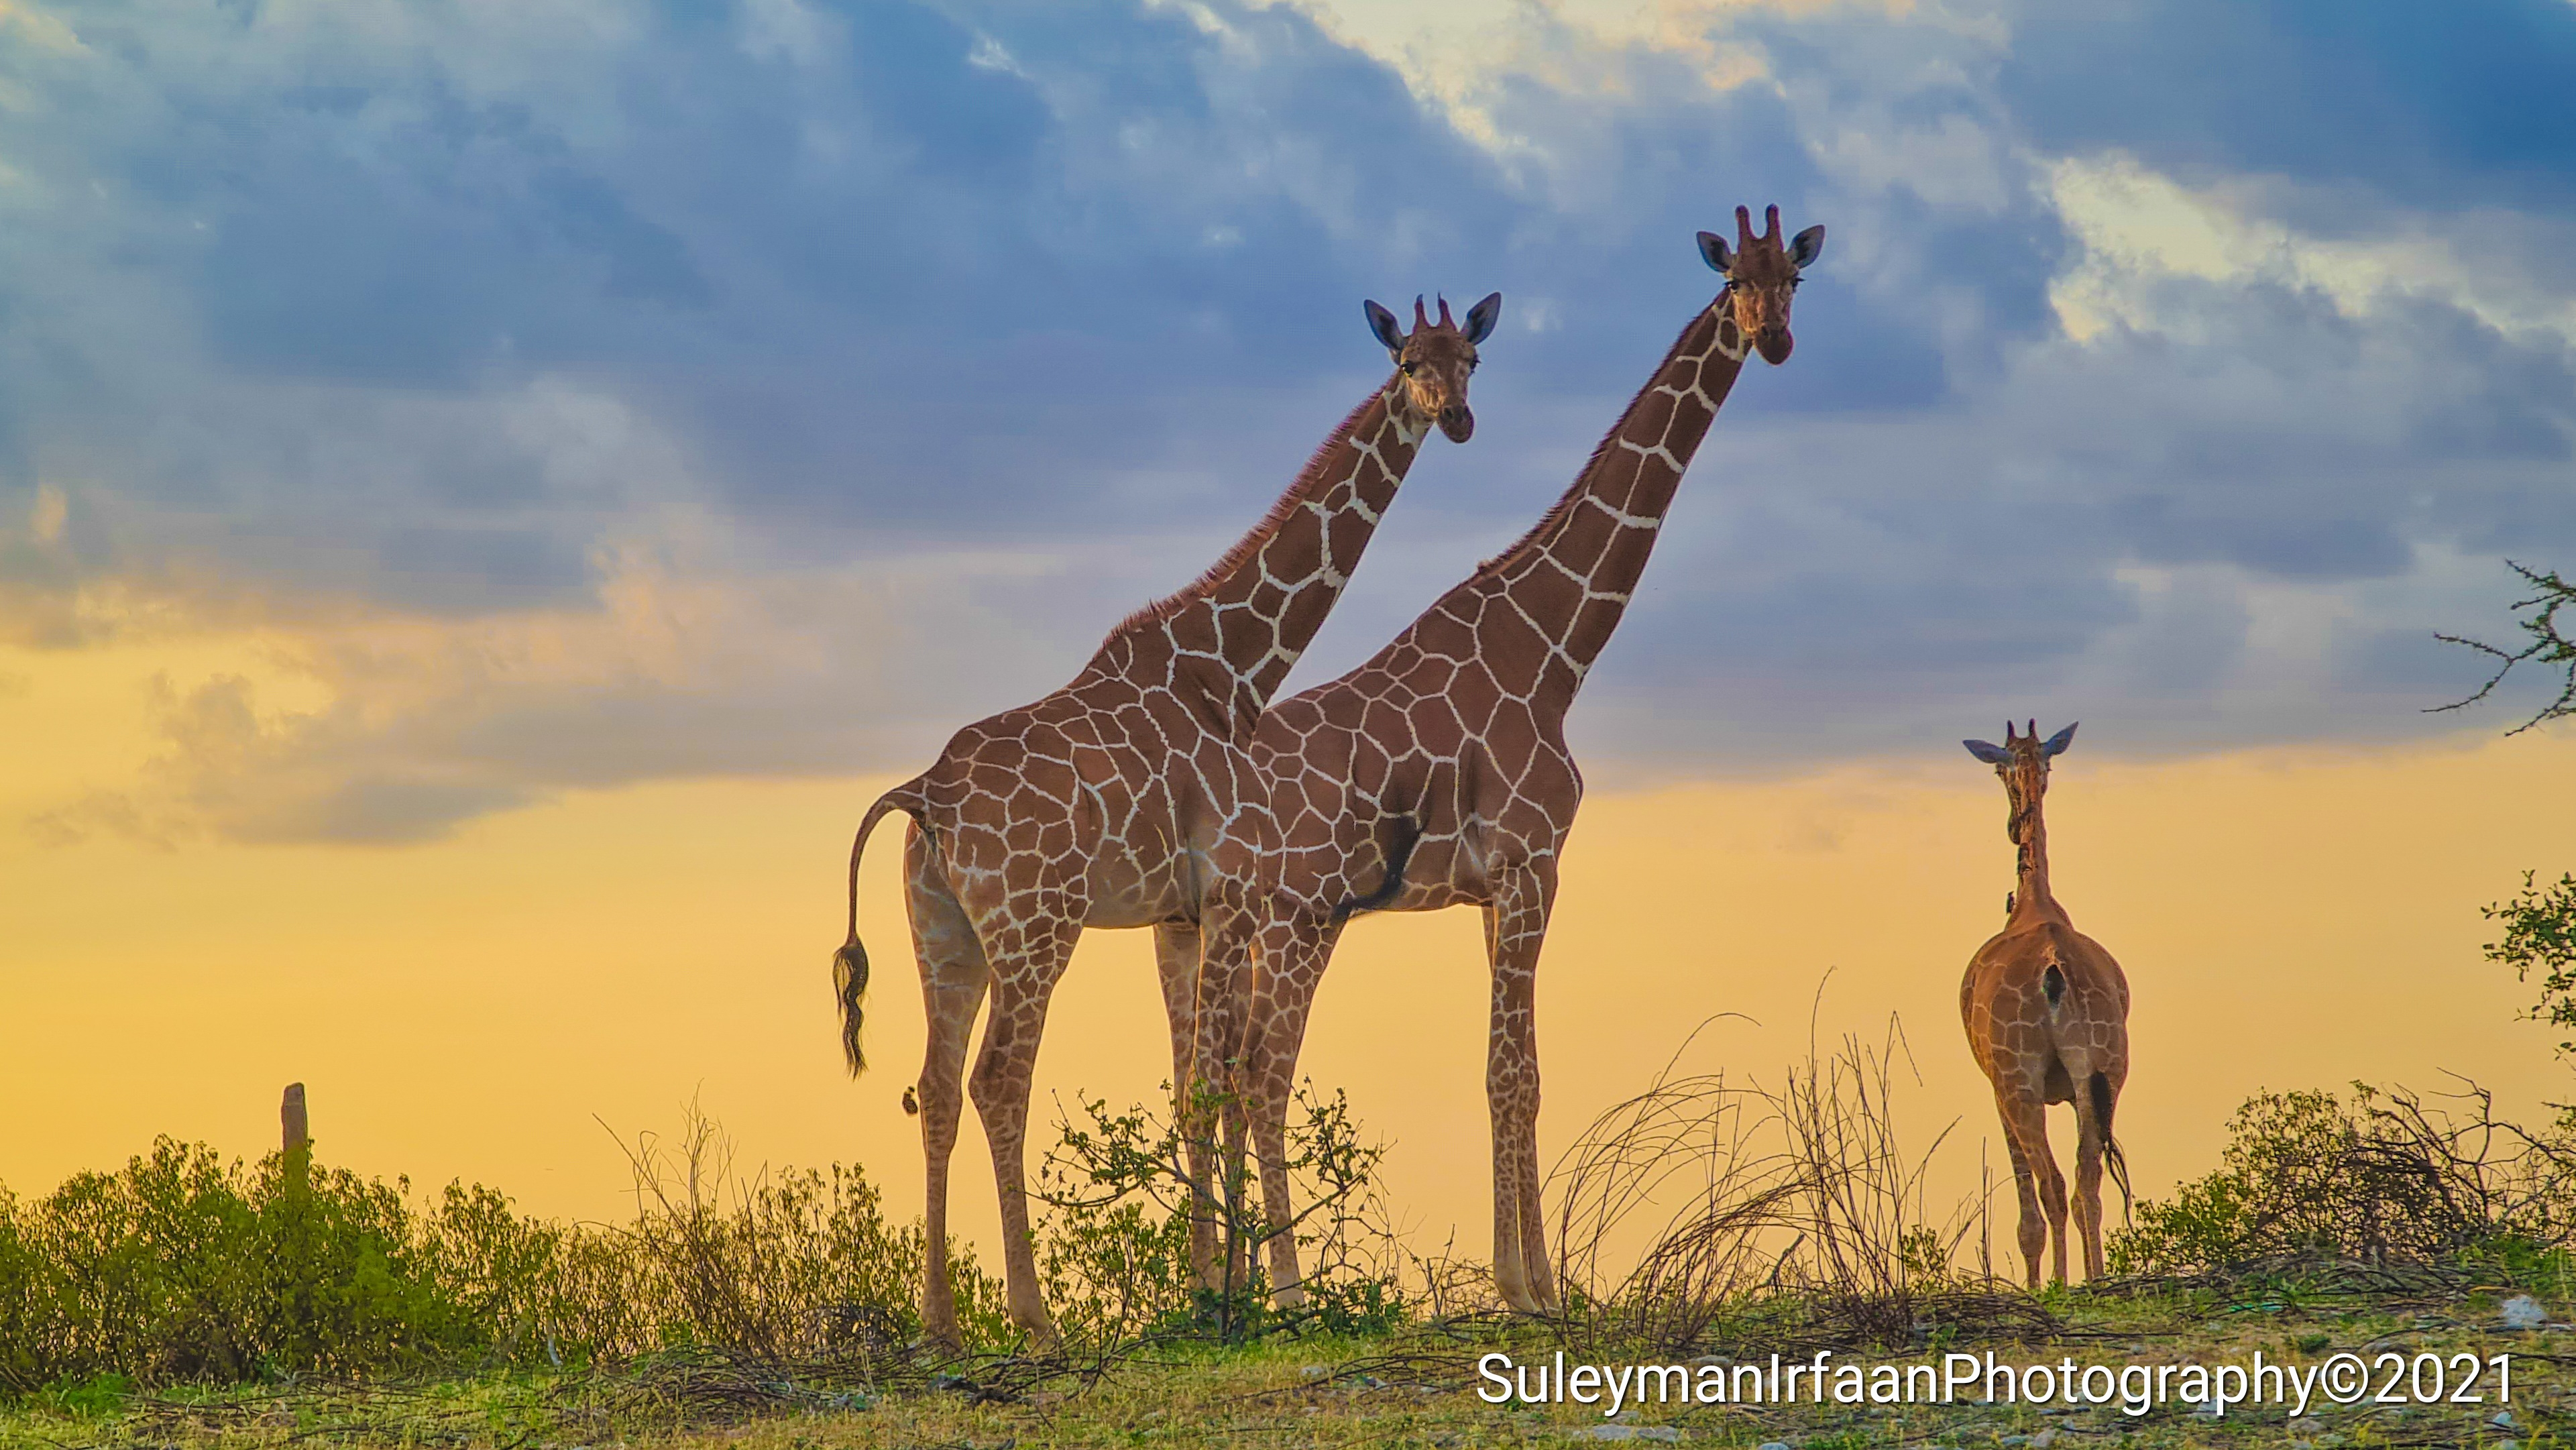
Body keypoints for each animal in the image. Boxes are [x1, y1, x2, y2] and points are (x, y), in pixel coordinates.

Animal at [831, 292, 1502, 1346]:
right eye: (1407, 363)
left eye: (1470, 357)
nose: (1458, 417)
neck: (1230, 669)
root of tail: (923, 795)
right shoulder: (1227, 891)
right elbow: (1215, 1085)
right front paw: (1232, 1299)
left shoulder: (1178, 912)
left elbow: (1192, 1087)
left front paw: (1207, 1290)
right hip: (1036, 925)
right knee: (997, 1080)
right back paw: (1033, 1318)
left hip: (942, 930)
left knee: (933, 1085)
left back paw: (941, 1321)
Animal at [1160, 206, 1821, 1315]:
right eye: (1733, 276)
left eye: (1794, 279)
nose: (1771, 339)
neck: (1554, 648)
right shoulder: (1532, 863)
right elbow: (1517, 1074)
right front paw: (1533, 1289)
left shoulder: (1489, 884)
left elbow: (1505, 1073)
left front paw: (1531, 1278)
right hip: (1294, 918)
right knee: (1257, 1071)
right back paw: (1279, 1292)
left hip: (1237, 927)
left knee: (1213, 1074)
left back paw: (1222, 1290)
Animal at [1958, 720, 2132, 1287]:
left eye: (1997, 767)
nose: (2014, 826)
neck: (2034, 904)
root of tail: (2053, 967)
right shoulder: (2082, 1085)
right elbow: (2085, 1184)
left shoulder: (1997, 1087)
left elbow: (2027, 1208)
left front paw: (2037, 1286)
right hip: (2105, 1072)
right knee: (2087, 1182)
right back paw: (2095, 1280)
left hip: (2020, 1081)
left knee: (2054, 1184)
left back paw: (2056, 1283)